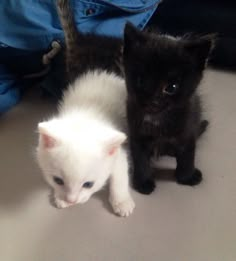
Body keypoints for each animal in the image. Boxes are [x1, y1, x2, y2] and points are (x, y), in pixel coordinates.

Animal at [35, 70, 135, 216]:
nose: (71, 201)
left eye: (88, 185)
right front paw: (60, 198)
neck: (85, 118)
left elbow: (120, 175)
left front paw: (122, 202)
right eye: (57, 181)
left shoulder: (118, 154)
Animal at [122, 23, 215, 193]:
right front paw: (143, 183)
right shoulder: (136, 132)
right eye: (141, 81)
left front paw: (187, 177)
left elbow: (187, 155)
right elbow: (140, 157)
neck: (157, 120)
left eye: (171, 87)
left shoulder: (187, 130)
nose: (152, 101)